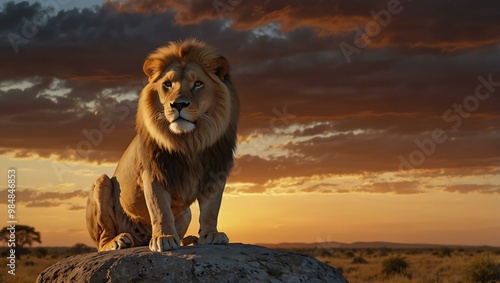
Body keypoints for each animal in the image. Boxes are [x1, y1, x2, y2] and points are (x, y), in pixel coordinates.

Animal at [85, 39, 238, 253]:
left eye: (198, 84)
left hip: (187, 213)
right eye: (167, 84)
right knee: (102, 240)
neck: (190, 141)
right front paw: (164, 238)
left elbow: (211, 210)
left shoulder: (215, 171)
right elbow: (160, 210)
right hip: (101, 184)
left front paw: (211, 235)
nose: (178, 105)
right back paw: (118, 240)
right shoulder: (153, 172)